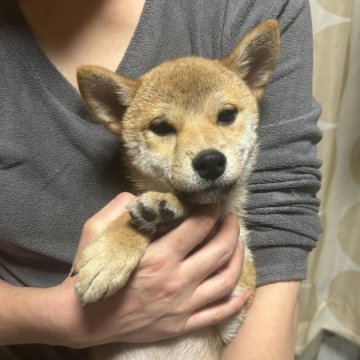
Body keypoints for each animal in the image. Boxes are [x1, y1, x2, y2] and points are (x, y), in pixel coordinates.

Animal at [74, 20, 282, 360]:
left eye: (227, 115)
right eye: (161, 127)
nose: (210, 162)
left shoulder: (235, 298)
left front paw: (165, 208)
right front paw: (111, 253)